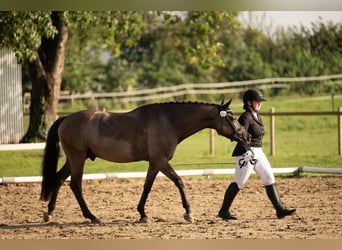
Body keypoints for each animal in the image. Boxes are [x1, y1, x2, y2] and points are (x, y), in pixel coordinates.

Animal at [40, 98, 250, 224]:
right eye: (231, 117)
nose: (247, 136)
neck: (168, 121)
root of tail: (66, 118)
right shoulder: (161, 161)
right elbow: (179, 181)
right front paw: (188, 213)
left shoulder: (154, 163)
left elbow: (147, 187)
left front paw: (142, 214)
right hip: (77, 158)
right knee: (75, 185)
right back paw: (92, 217)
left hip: (75, 159)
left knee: (59, 179)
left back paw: (49, 213)